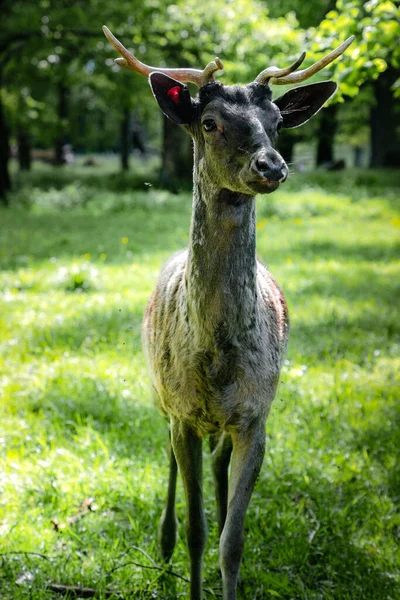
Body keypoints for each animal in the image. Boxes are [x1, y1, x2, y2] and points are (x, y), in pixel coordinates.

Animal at [103, 27, 354, 600]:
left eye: (278, 121)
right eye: (210, 123)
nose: (272, 166)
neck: (218, 356)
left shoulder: (257, 416)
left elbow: (232, 542)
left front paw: (229, 558)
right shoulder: (182, 411)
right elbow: (198, 533)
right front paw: (184, 550)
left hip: (222, 423)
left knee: (219, 469)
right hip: (159, 394)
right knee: (170, 460)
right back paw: (164, 542)